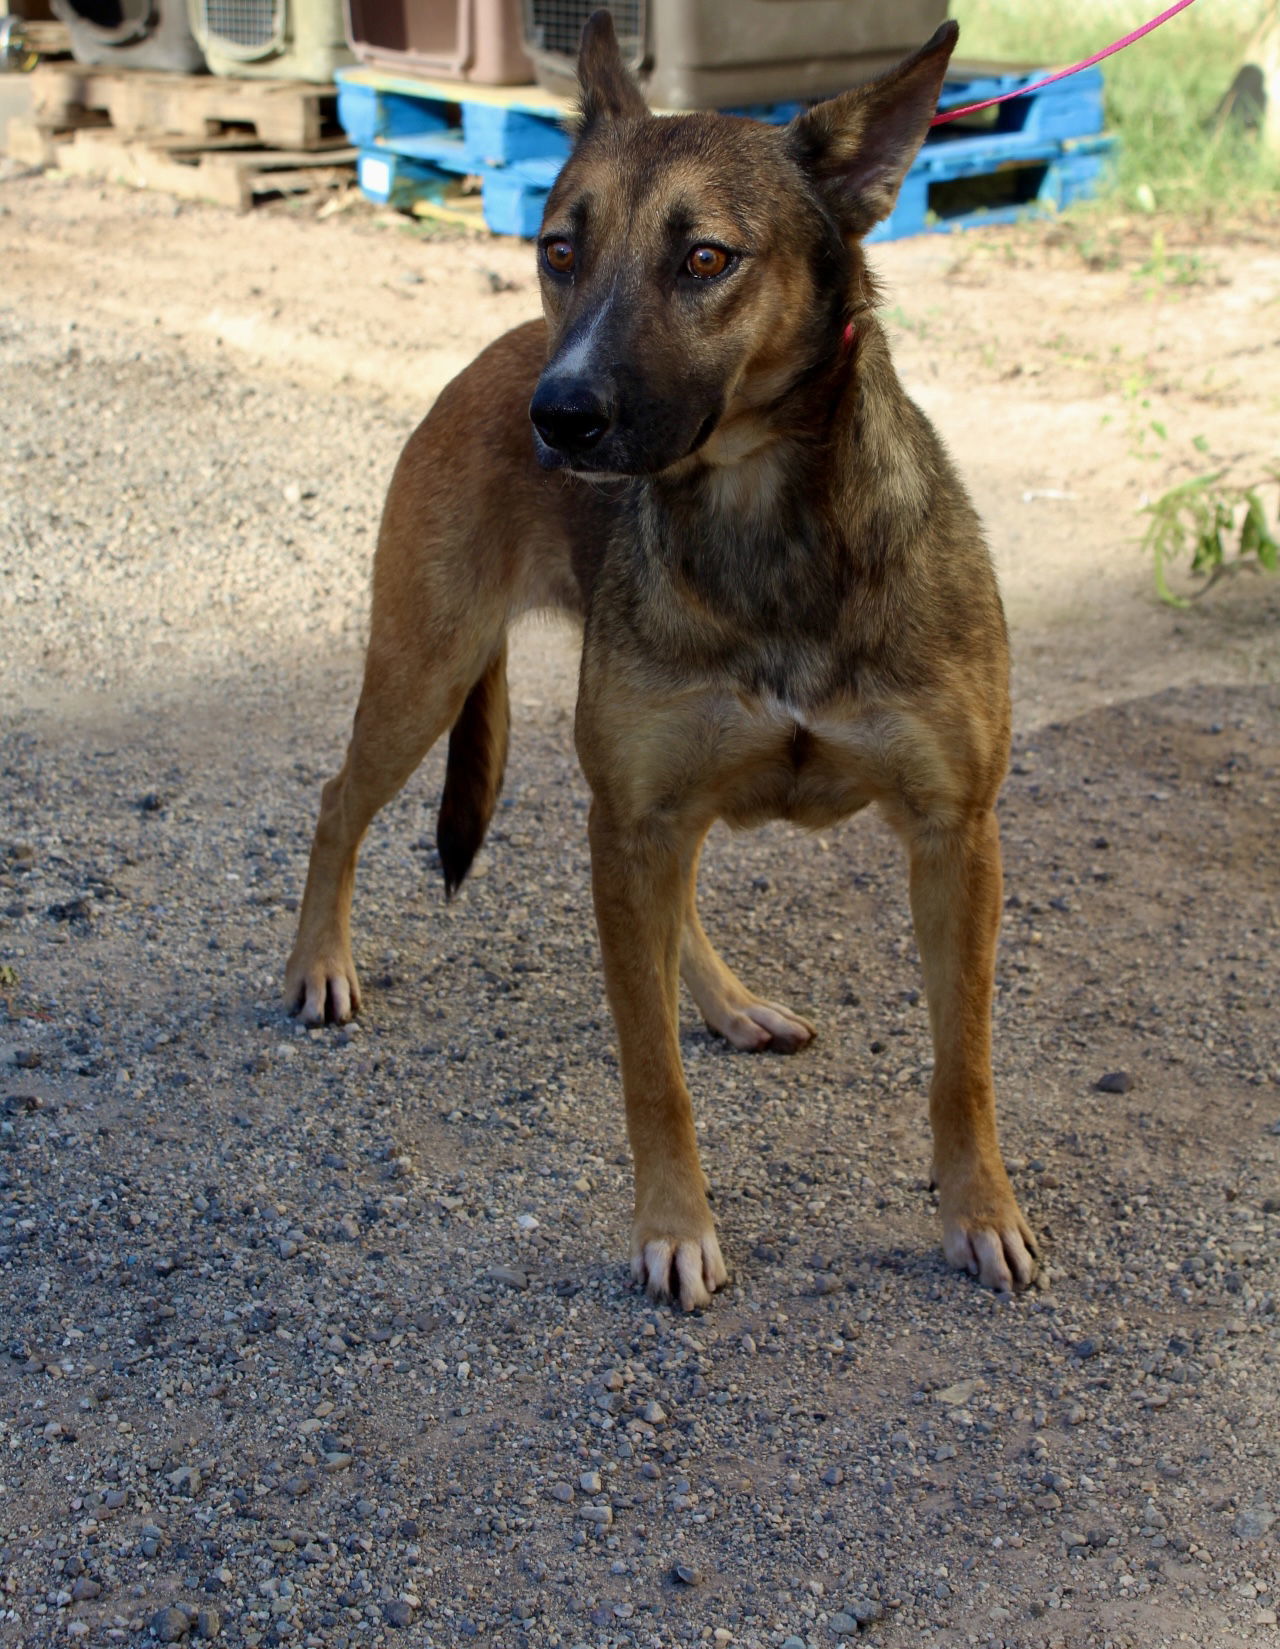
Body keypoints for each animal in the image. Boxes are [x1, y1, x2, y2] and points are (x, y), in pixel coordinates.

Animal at [282, 6, 1042, 1306]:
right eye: (557, 249)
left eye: (705, 260)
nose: (557, 418)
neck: (759, 524)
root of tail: (498, 358)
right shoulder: (629, 818)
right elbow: (651, 1075)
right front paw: (674, 1227)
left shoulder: (954, 833)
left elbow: (965, 1063)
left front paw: (980, 1209)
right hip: (430, 670)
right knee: (339, 799)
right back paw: (318, 964)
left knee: (674, 903)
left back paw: (733, 1007)